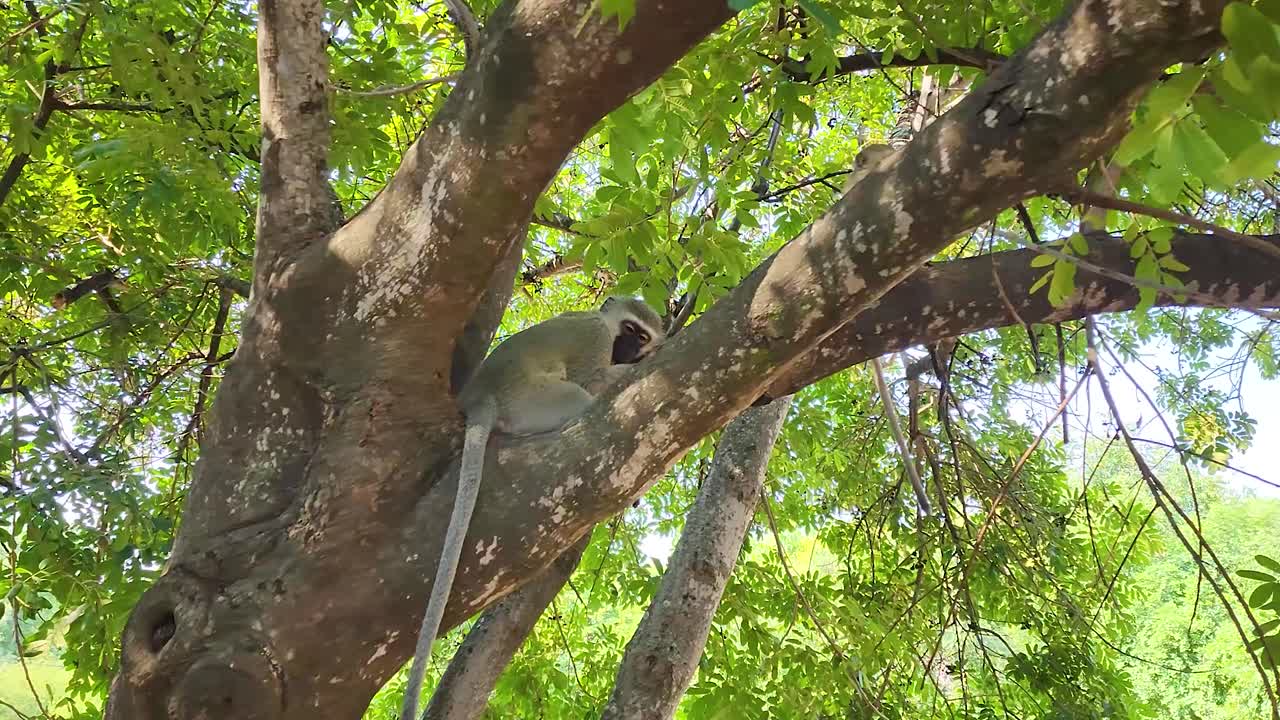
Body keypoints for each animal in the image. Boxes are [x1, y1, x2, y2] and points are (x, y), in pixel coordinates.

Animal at [399, 296, 666, 720]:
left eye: (642, 337)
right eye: (629, 329)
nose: (629, 350)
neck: (605, 330)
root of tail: (481, 397)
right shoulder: (593, 339)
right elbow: (592, 378)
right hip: (534, 400)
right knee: (583, 398)